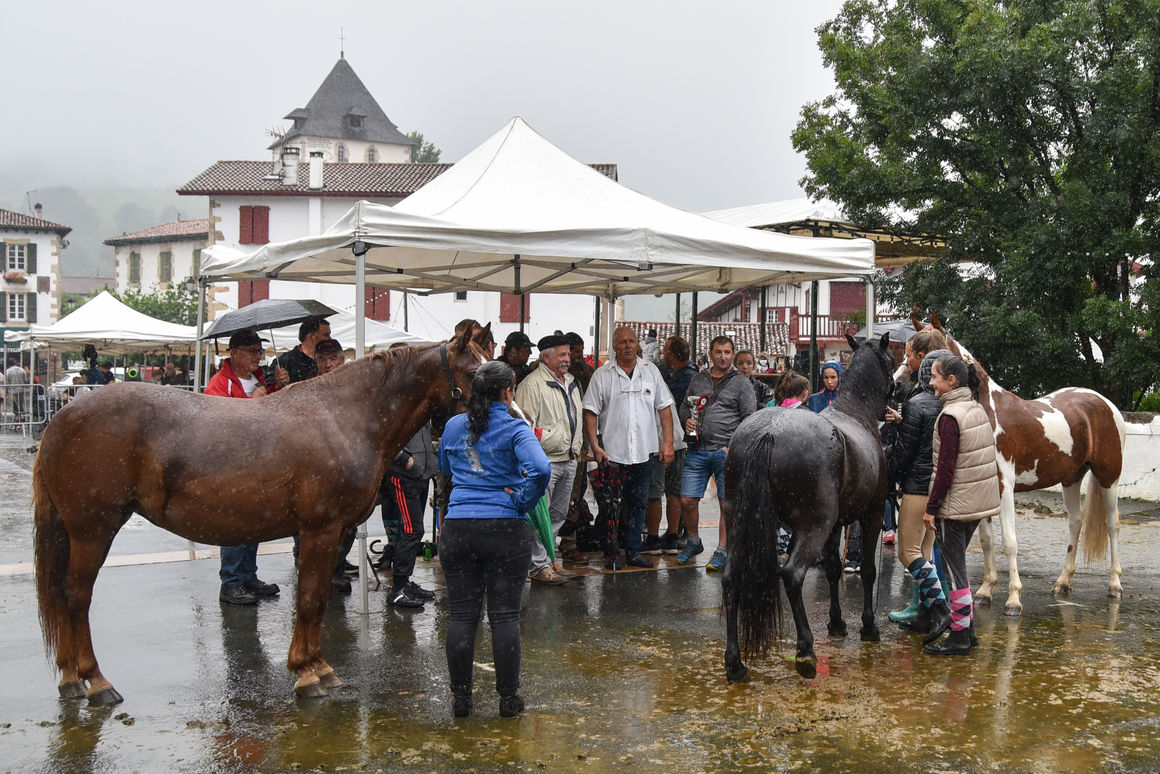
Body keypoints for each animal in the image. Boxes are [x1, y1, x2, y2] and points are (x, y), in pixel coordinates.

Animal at [30, 324, 484, 705]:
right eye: (476, 372)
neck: (345, 418)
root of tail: (61, 419)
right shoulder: (320, 530)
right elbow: (310, 599)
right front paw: (308, 673)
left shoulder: (334, 533)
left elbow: (317, 598)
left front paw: (318, 667)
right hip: (93, 531)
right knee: (75, 597)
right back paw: (96, 682)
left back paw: (71, 680)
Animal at [719, 329, 890, 682]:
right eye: (891, 359)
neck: (855, 414)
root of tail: (769, 432)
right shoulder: (871, 515)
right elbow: (868, 570)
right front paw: (868, 627)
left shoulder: (837, 524)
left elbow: (832, 569)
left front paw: (837, 623)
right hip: (813, 526)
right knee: (793, 574)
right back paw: (805, 652)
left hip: (740, 522)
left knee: (731, 579)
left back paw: (735, 663)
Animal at [918, 315, 1127, 617]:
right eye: (910, 348)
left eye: (931, 350)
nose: (899, 386)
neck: (986, 415)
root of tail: (1105, 403)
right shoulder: (985, 493)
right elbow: (987, 541)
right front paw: (985, 590)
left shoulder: (1004, 488)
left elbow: (1010, 542)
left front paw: (1014, 599)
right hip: (1071, 478)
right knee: (1075, 522)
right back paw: (1063, 582)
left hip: (1109, 477)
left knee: (1112, 525)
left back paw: (1114, 585)